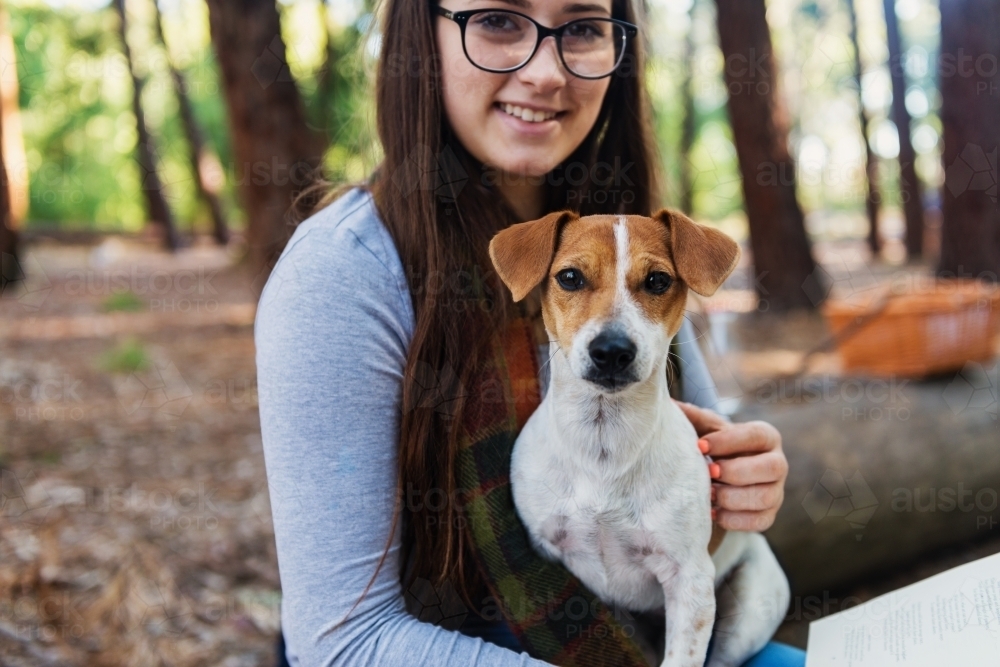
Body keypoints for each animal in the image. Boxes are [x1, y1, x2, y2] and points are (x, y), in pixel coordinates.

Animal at [490, 209, 788, 667]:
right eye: (570, 277)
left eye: (658, 281)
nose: (611, 350)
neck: (604, 440)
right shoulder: (549, 558)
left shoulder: (690, 581)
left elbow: (683, 656)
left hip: (746, 610)